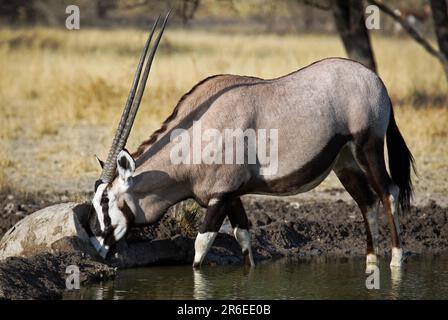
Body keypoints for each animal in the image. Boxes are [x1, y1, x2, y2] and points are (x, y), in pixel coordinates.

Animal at [87, 12, 416, 268]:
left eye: (107, 202)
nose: (97, 247)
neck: (194, 138)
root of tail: (376, 81)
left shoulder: (219, 198)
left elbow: (200, 249)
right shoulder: (231, 195)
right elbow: (244, 239)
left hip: (368, 148)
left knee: (388, 192)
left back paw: (396, 262)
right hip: (344, 162)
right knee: (367, 201)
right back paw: (370, 263)